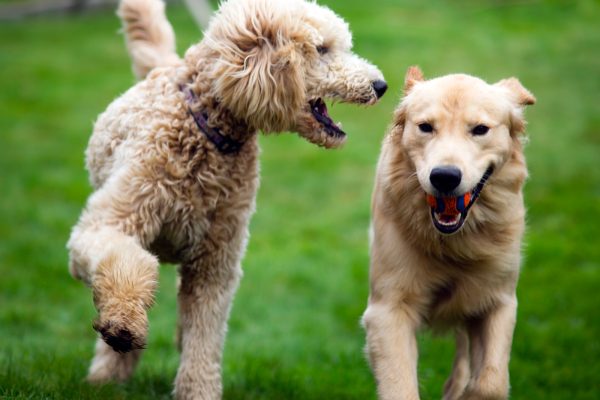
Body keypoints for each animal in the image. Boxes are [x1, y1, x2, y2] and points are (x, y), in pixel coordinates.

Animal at [65, 0, 384, 396]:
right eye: (322, 49)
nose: (381, 85)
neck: (207, 134)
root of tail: (162, 65)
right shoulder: (105, 224)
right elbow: (124, 260)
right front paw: (123, 324)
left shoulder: (214, 265)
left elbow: (205, 337)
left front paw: (198, 391)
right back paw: (106, 377)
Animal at [360, 67, 536, 398]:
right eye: (425, 127)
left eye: (480, 129)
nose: (444, 177)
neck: (453, 242)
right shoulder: (388, 310)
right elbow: (400, 386)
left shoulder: (499, 300)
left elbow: (491, 382)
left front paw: (468, 391)